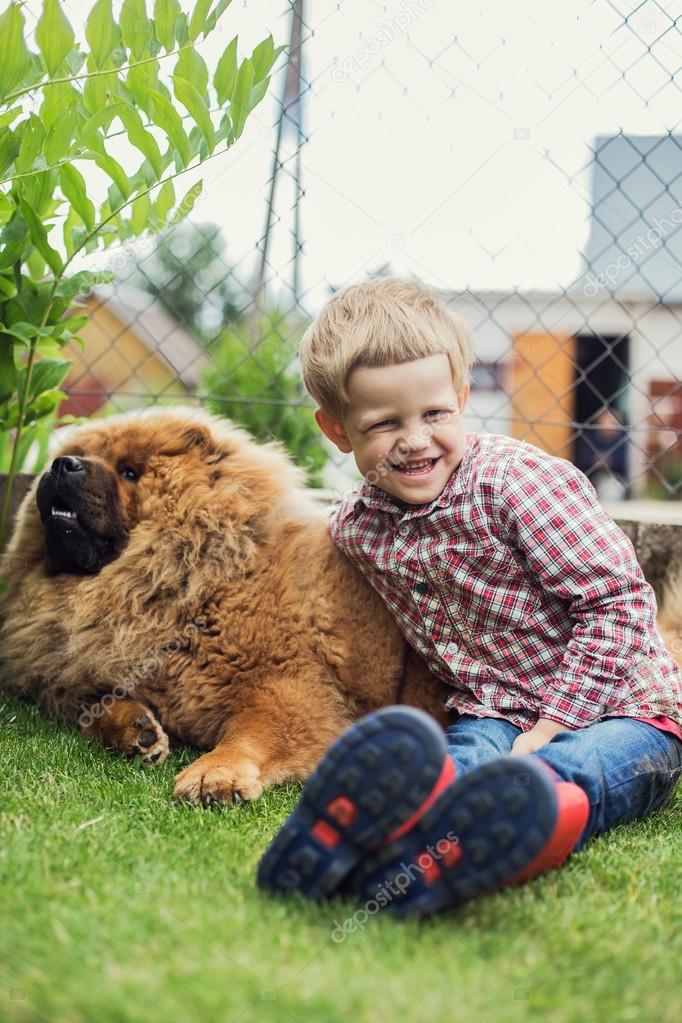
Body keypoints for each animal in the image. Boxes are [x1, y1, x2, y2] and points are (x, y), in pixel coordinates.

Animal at [0, 411, 449, 802]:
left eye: (129, 471)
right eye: (80, 453)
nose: (62, 464)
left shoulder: (286, 691)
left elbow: (251, 737)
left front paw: (213, 775)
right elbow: (94, 706)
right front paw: (138, 731)